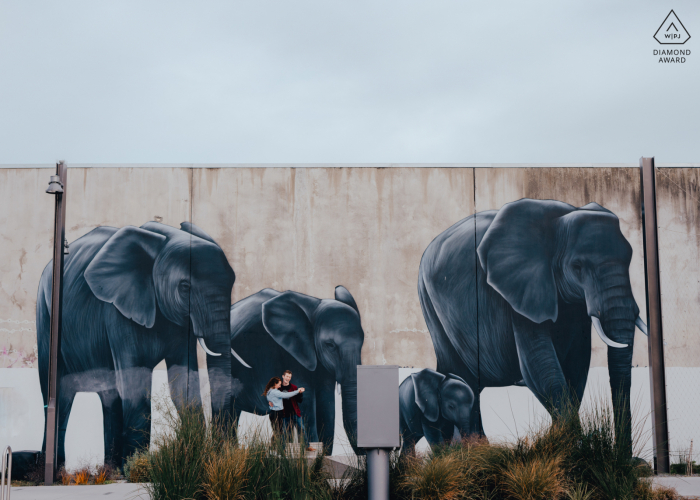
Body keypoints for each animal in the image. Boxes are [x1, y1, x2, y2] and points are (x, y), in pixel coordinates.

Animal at [37, 221, 235, 466]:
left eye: (233, 283)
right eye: (185, 287)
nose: (222, 452)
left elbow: (183, 385)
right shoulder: (118, 312)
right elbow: (135, 385)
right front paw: (136, 468)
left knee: (110, 397)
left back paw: (109, 469)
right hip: (45, 312)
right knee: (58, 392)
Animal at [418, 200, 648, 454]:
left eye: (630, 260)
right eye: (577, 266)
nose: (627, 459)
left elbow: (577, 366)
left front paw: (557, 444)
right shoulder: (520, 292)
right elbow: (541, 368)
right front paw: (566, 450)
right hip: (430, 306)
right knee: (461, 377)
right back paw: (472, 452)